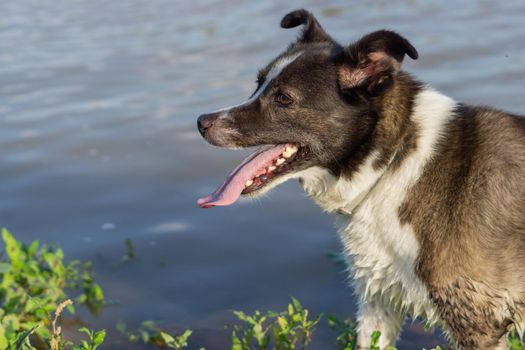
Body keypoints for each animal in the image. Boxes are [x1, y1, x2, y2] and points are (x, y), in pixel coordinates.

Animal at [196, 8, 524, 350]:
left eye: (283, 98)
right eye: (258, 83)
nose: (201, 122)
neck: (393, 162)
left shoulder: (476, 319)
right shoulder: (380, 300)